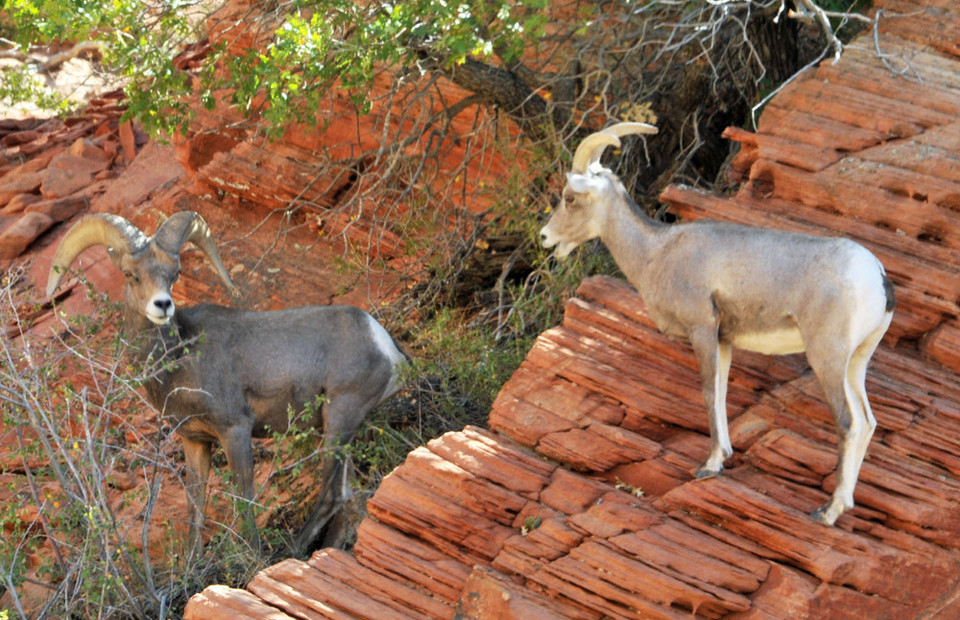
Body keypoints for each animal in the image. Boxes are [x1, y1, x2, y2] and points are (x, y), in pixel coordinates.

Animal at [47, 212, 404, 552]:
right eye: (130, 274)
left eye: (174, 274)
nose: (163, 305)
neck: (179, 355)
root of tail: (385, 346)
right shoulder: (195, 441)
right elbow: (195, 513)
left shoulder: (235, 430)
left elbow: (245, 504)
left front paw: (250, 557)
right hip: (332, 427)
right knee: (351, 496)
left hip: (339, 418)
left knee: (334, 493)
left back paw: (288, 552)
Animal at [544, 121, 896, 524]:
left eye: (571, 197)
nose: (546, 237)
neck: (657, 253)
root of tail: (878, 277)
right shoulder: (724, 341)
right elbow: (723, 393)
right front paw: (723, 457)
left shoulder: (703, 331)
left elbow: (709, 393)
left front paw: (709, 466)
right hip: (856, 363)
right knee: (867, 422)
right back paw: (845, 504)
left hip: (827, 359)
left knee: (849, 422)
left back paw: (828, 511)